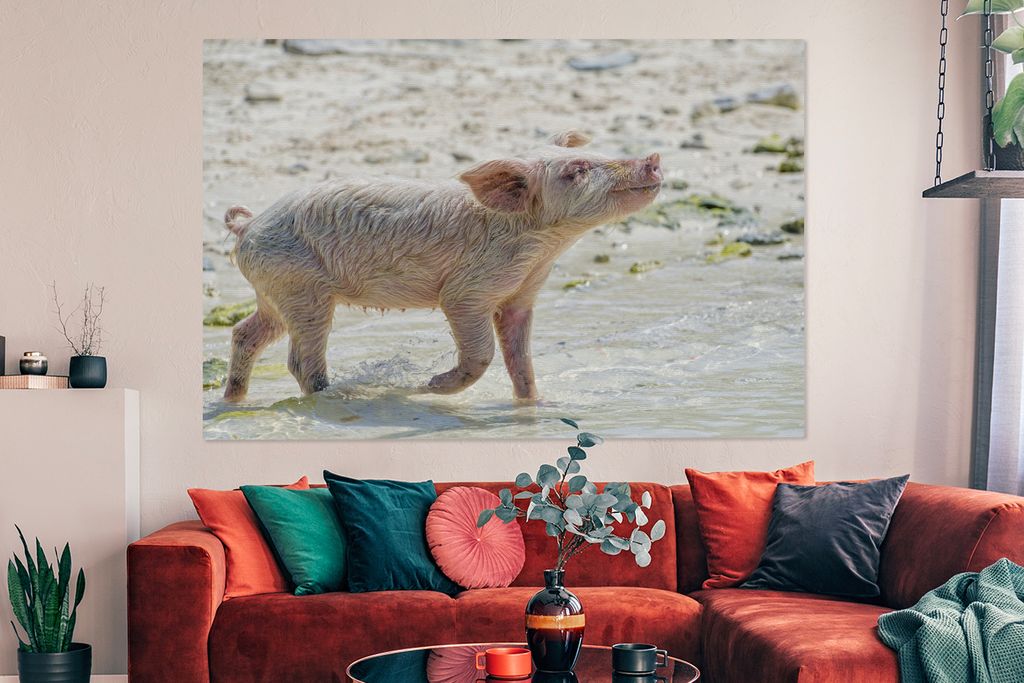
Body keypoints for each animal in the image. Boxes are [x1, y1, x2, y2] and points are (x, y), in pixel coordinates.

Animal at [221, 130, 662, 402]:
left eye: (598, 155)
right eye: (577, 170)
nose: (654, 157)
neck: (541, 248)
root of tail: (247, 225)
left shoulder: (521, 294)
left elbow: (521, 359)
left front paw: (535, 404)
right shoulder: (467, 291)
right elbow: (482, 352)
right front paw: (428, 387)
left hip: (274, 290)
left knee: (245, 333)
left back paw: (234, 400)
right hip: (301, 288)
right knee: (300, 361)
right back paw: (338, 398)